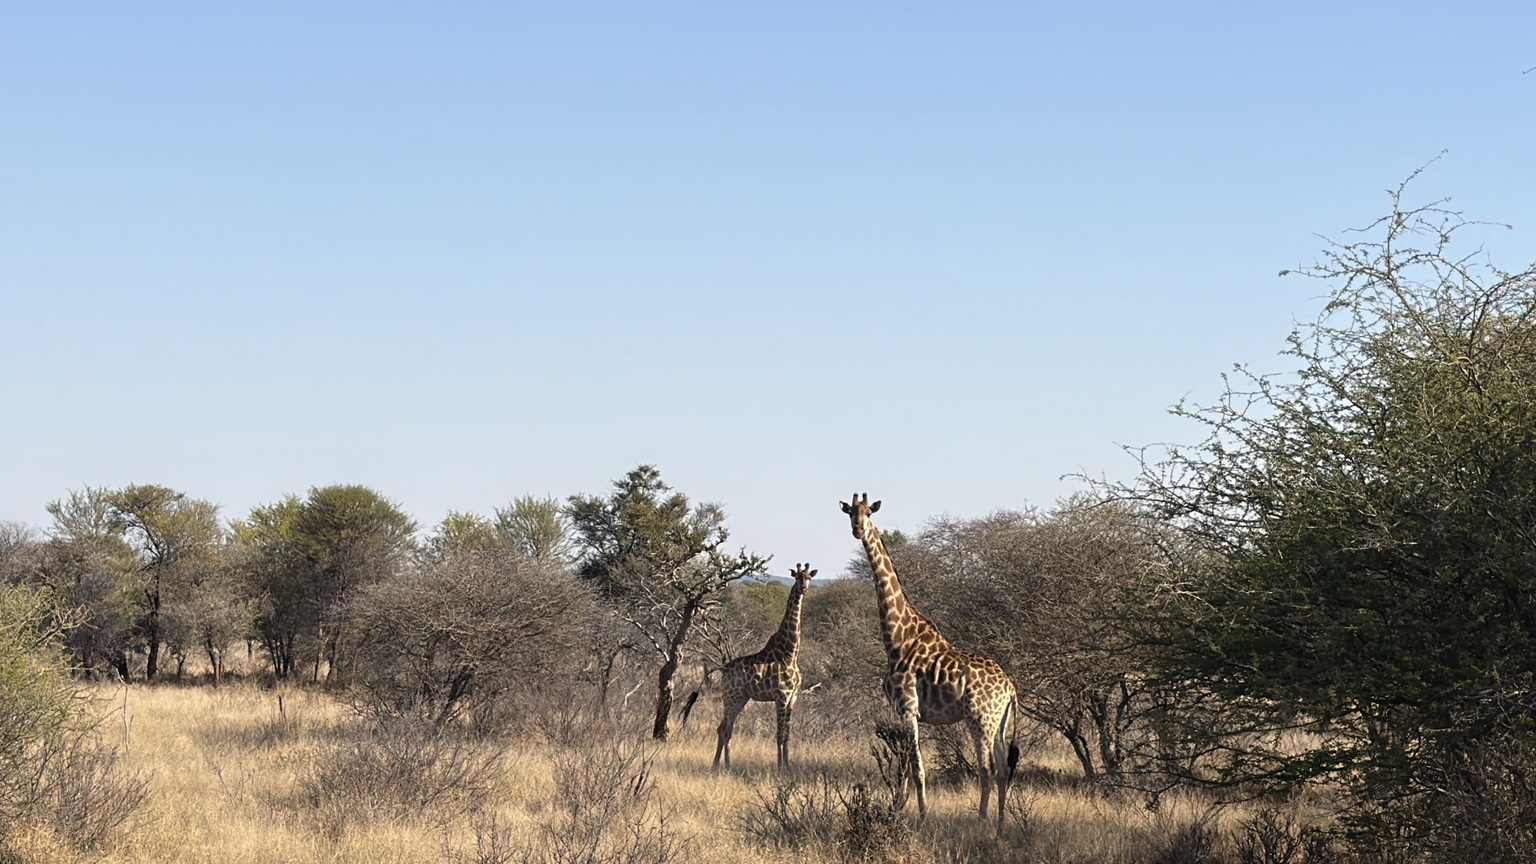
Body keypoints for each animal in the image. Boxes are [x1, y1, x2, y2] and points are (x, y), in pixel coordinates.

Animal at [714, 562, 817, 770]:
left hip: (741, 698)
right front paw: (779, 767)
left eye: (809, 577)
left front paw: (788, 766)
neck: (790, 653)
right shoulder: (782, 696)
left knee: (722, 728)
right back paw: (727, 765)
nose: (803, 588)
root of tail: (723, 670)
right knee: (725, 729)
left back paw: (716, 765)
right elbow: (779, 735)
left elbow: (787, 735)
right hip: (731, 697)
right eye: (797, 577)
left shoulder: (792, 697)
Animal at [840, 493, 1019, 833]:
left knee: (987, 769)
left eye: (869, 512)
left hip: (980, 719)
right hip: (999, 723)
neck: (896, 637)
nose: (857, 529)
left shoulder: (909, 709)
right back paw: (1002, 826)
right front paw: (897, 810)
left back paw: (981, 821)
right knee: (1003, 769)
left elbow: (917, 768)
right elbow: (903, 767)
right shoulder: (900, 712)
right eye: (849, 513)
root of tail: (1011, 688)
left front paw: (921, 818)